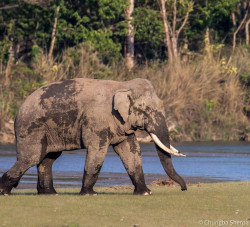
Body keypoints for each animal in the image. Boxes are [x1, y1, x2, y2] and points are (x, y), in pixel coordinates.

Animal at [0, 78, 186, 195]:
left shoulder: (121, 123)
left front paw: (146, 193)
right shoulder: (97, 120)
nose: (183, 189)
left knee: (48, 158)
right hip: (31, 127)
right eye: (146, 111)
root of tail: (19, 109)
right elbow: (97, 150)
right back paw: (4, 192)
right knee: (31, 157)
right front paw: (90, 194)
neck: (121, 85)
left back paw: (50, 194)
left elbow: (130, 150)